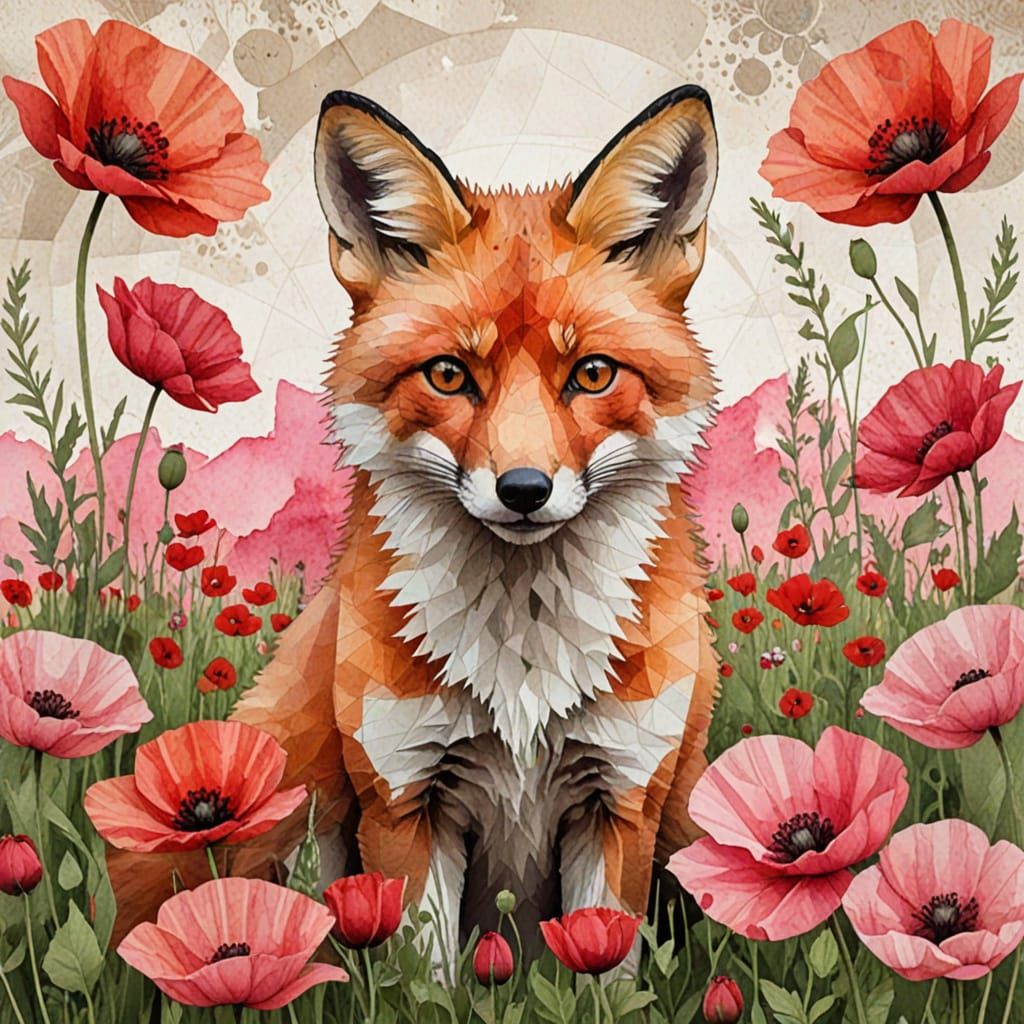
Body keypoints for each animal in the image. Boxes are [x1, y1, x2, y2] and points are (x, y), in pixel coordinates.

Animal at [107, 85, 720, 962]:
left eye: (594, 374)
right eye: (450, 375)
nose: (524, 489)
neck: (522, 658)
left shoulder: (622, 800)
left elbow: (604, 965)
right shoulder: (404, 800)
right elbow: (425, 973)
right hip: (278, 798)